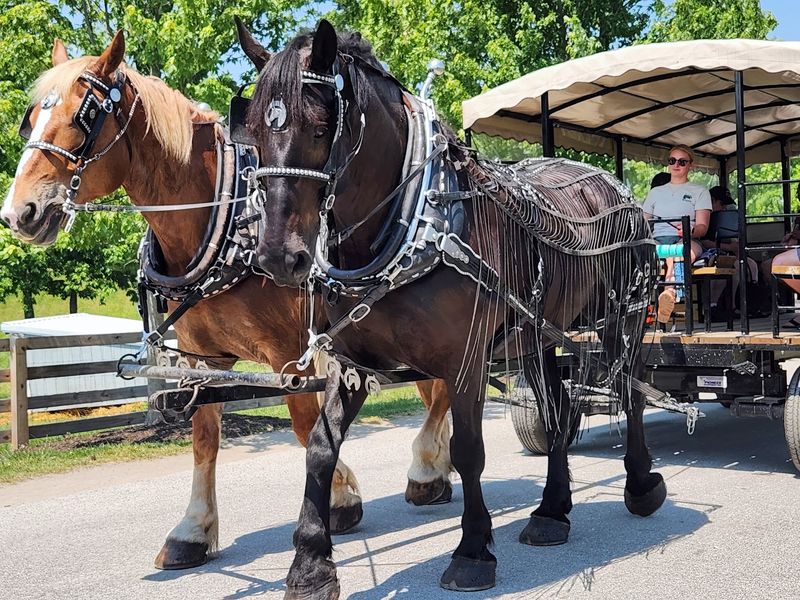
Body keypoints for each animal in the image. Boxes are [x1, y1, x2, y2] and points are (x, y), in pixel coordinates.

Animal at [0, 30, 454, 571]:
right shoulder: (202, 357)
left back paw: (427, 467)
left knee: (442, 386)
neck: (227, 224)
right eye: (30, 118)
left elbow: (305, 427)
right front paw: (192, 531)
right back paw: (441, 466)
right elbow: (204, 437)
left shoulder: (290, 354)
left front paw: (340, 499)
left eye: (82, 116)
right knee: (434, 389)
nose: (18, 213)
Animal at [244, 20, 666, 597]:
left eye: (317, 127)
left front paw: (472, 550)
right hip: (538, 335)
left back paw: (642, 483)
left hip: (622, 320)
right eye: (252, 134)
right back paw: (551, 512)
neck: (413, 222)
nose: (277, 257)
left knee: (630, 392)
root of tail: (615, 185)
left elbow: (468, 450)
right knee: (558, 412)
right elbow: (320, 449)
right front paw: (310, 564)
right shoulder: (352, 363)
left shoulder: (464, 360)